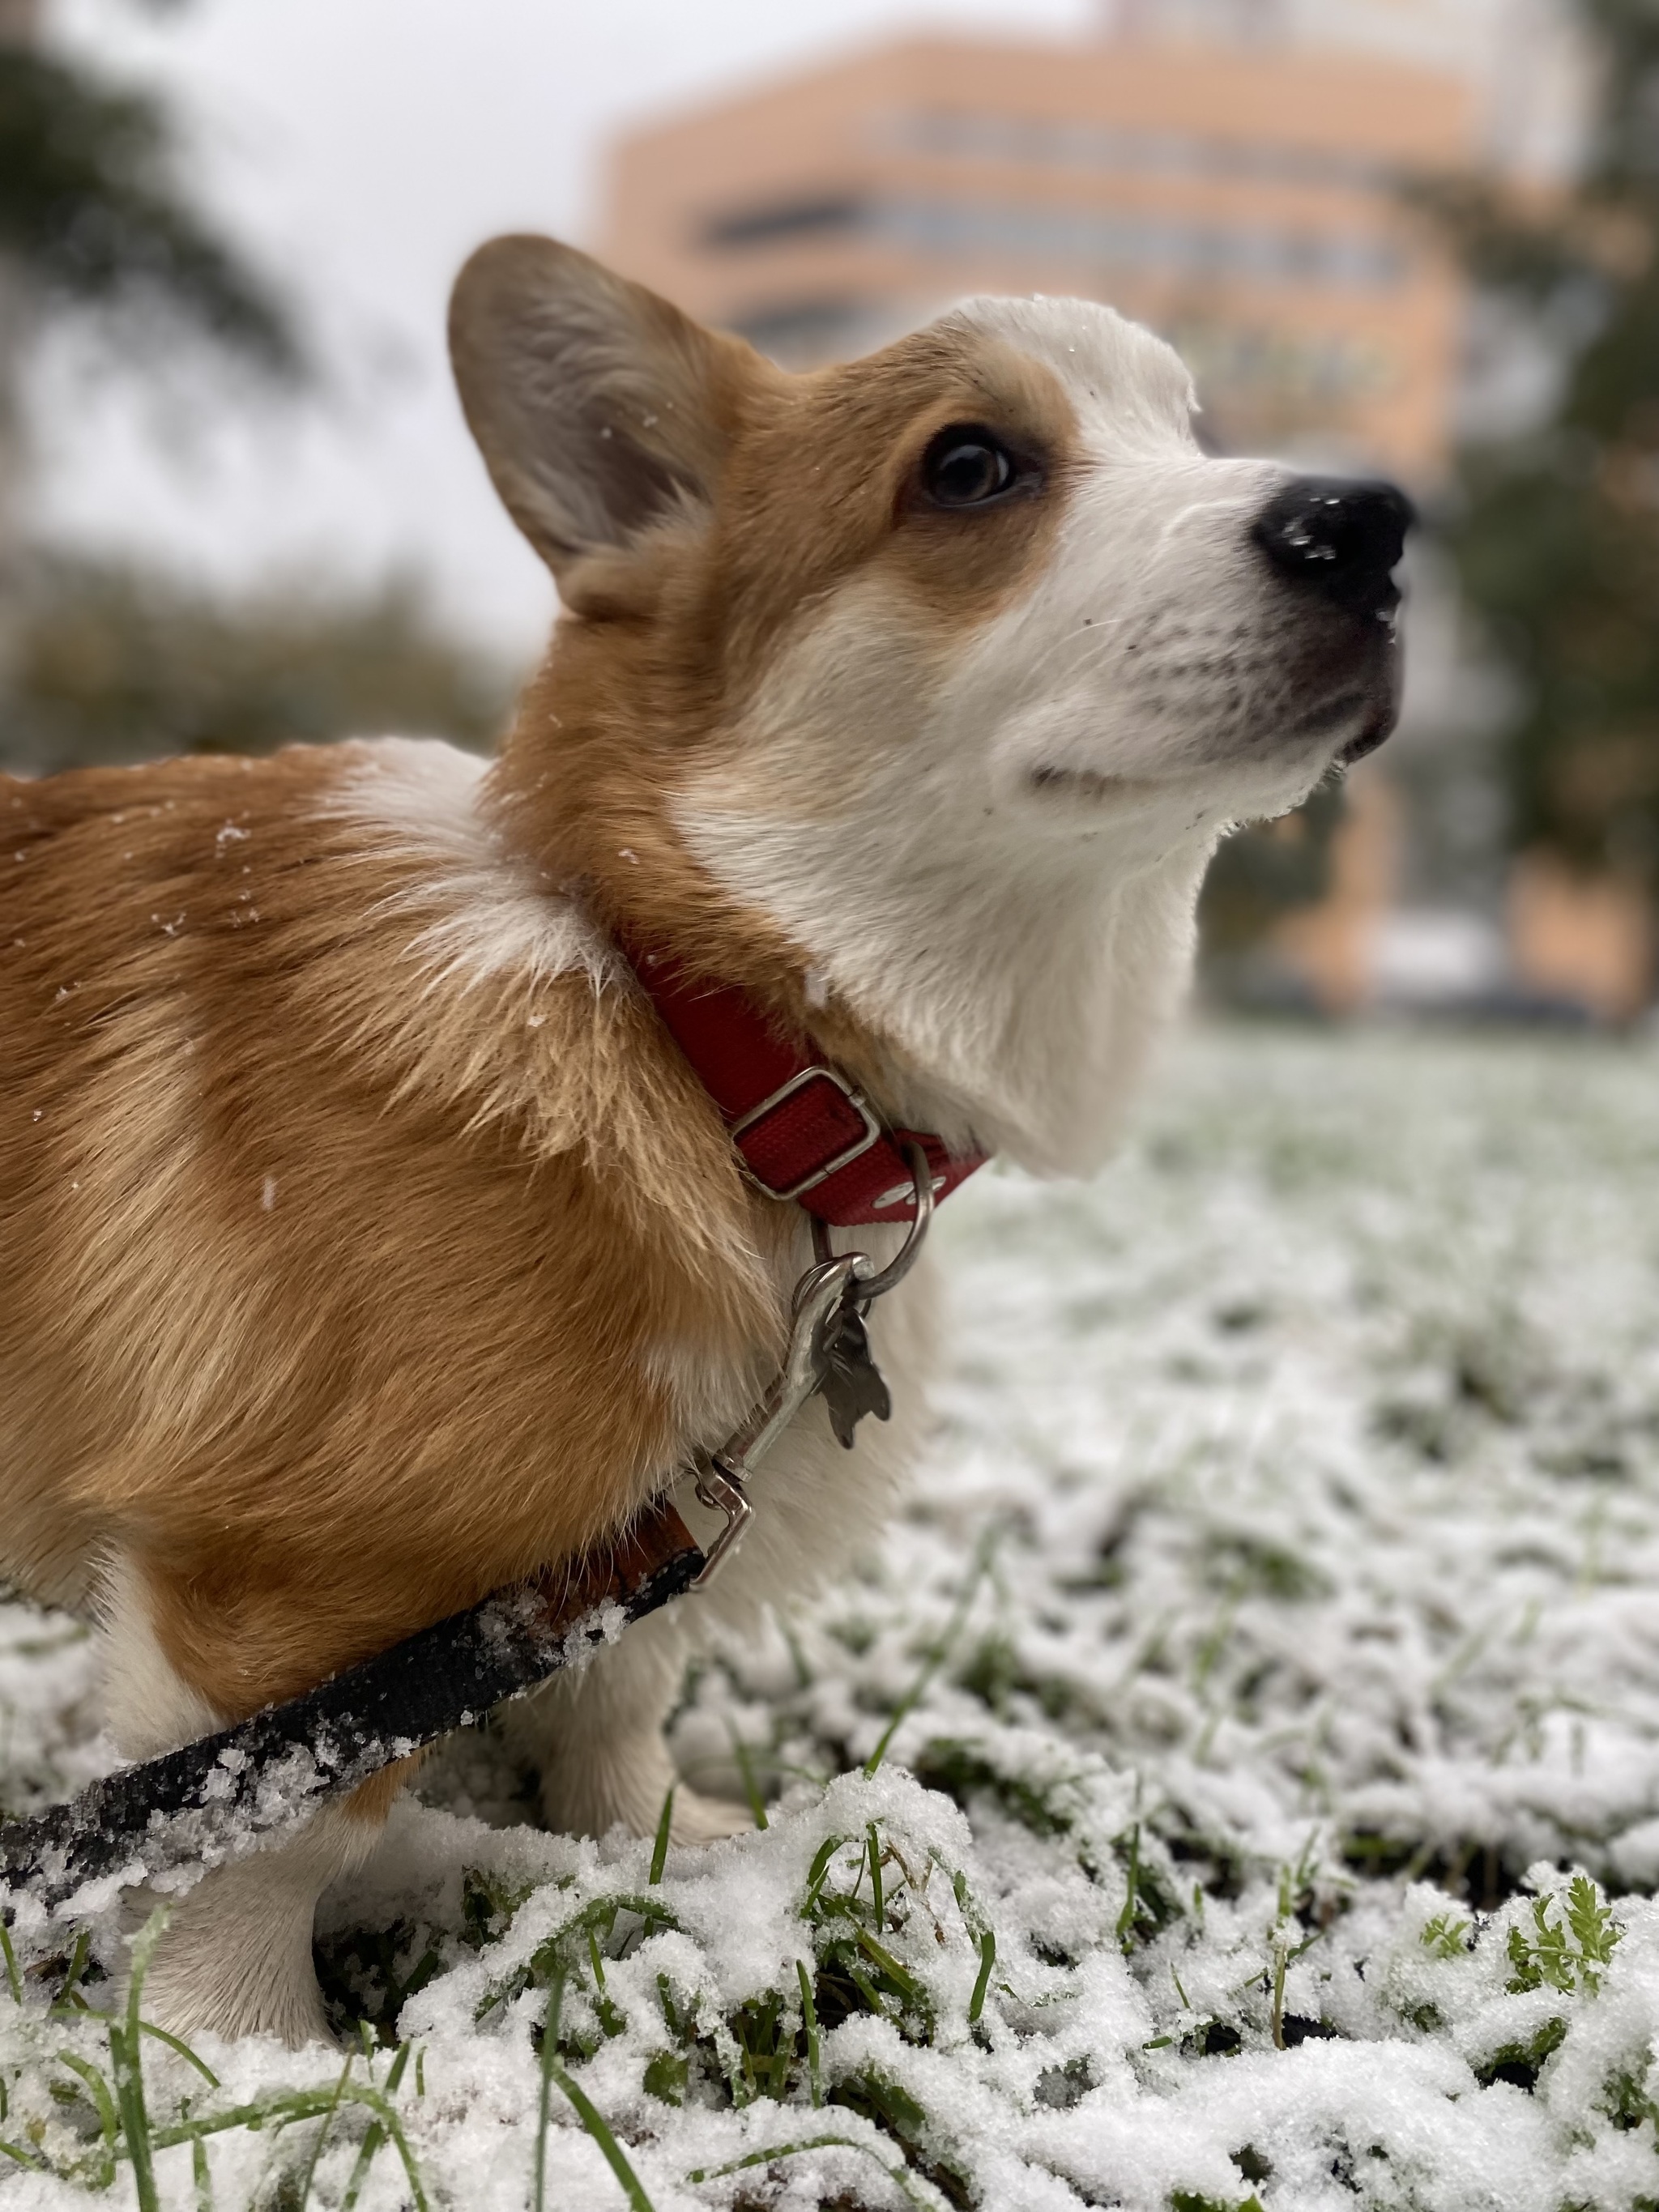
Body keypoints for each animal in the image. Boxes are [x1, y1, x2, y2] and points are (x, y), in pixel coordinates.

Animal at [0, 237, 1406, 2035]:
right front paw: (248, 2067)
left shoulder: (628, 1542)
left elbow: (619, 1700)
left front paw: (661, 1843)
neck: (684, 1024)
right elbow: (254, 1855)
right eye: (970, 467)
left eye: (1188, 426)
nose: (1371, 525)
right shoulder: (268, 1598)